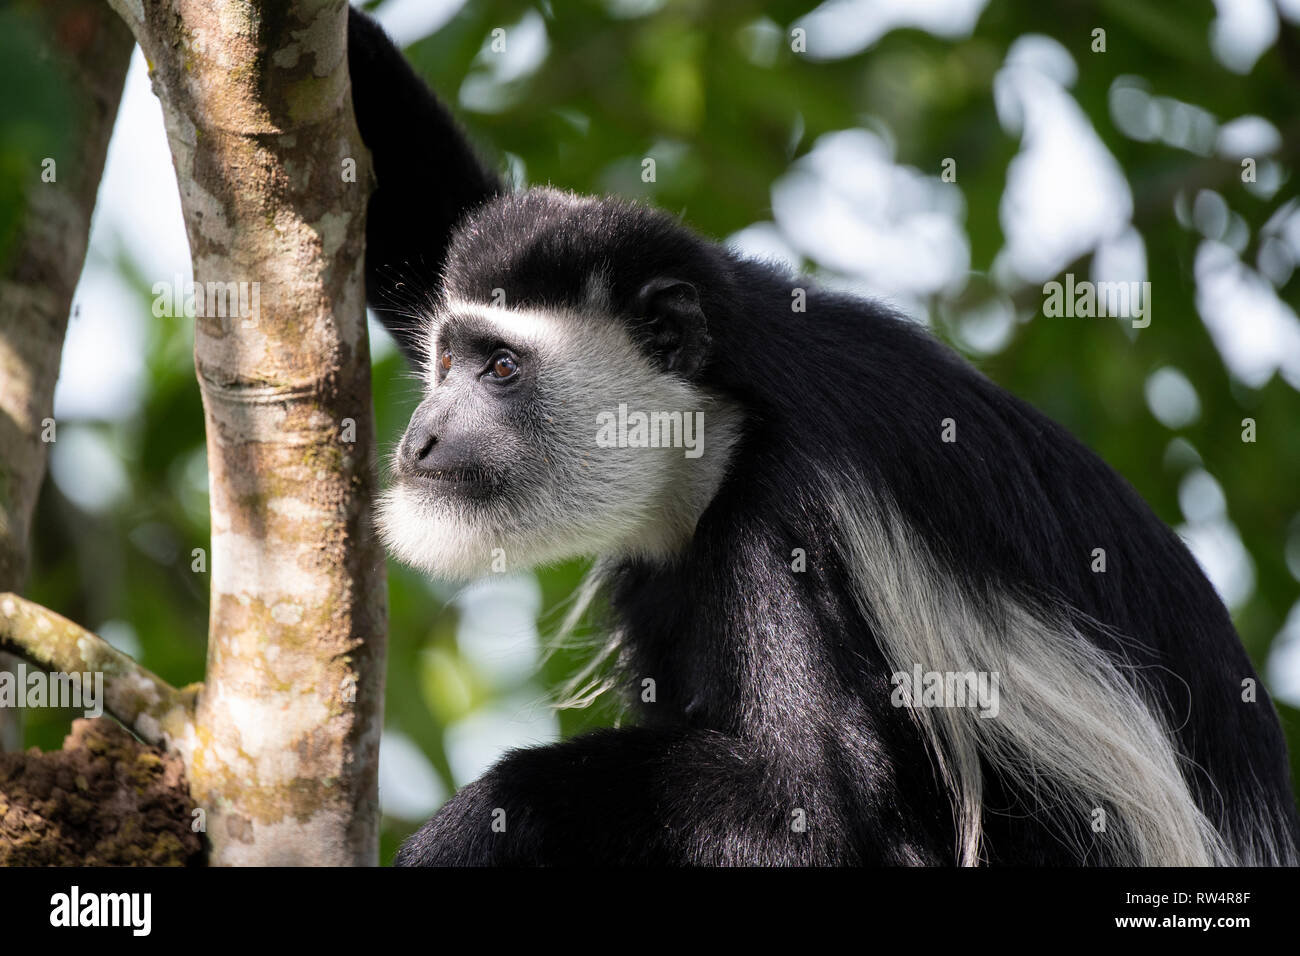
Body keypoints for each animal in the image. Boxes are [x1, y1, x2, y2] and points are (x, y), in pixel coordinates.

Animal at [348, 5, 1300, 868]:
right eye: (446, 356)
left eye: (503, 369)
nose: (422, 441)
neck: (720, 432)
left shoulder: (792, 520)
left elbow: (811, 808)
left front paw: (482, 819)